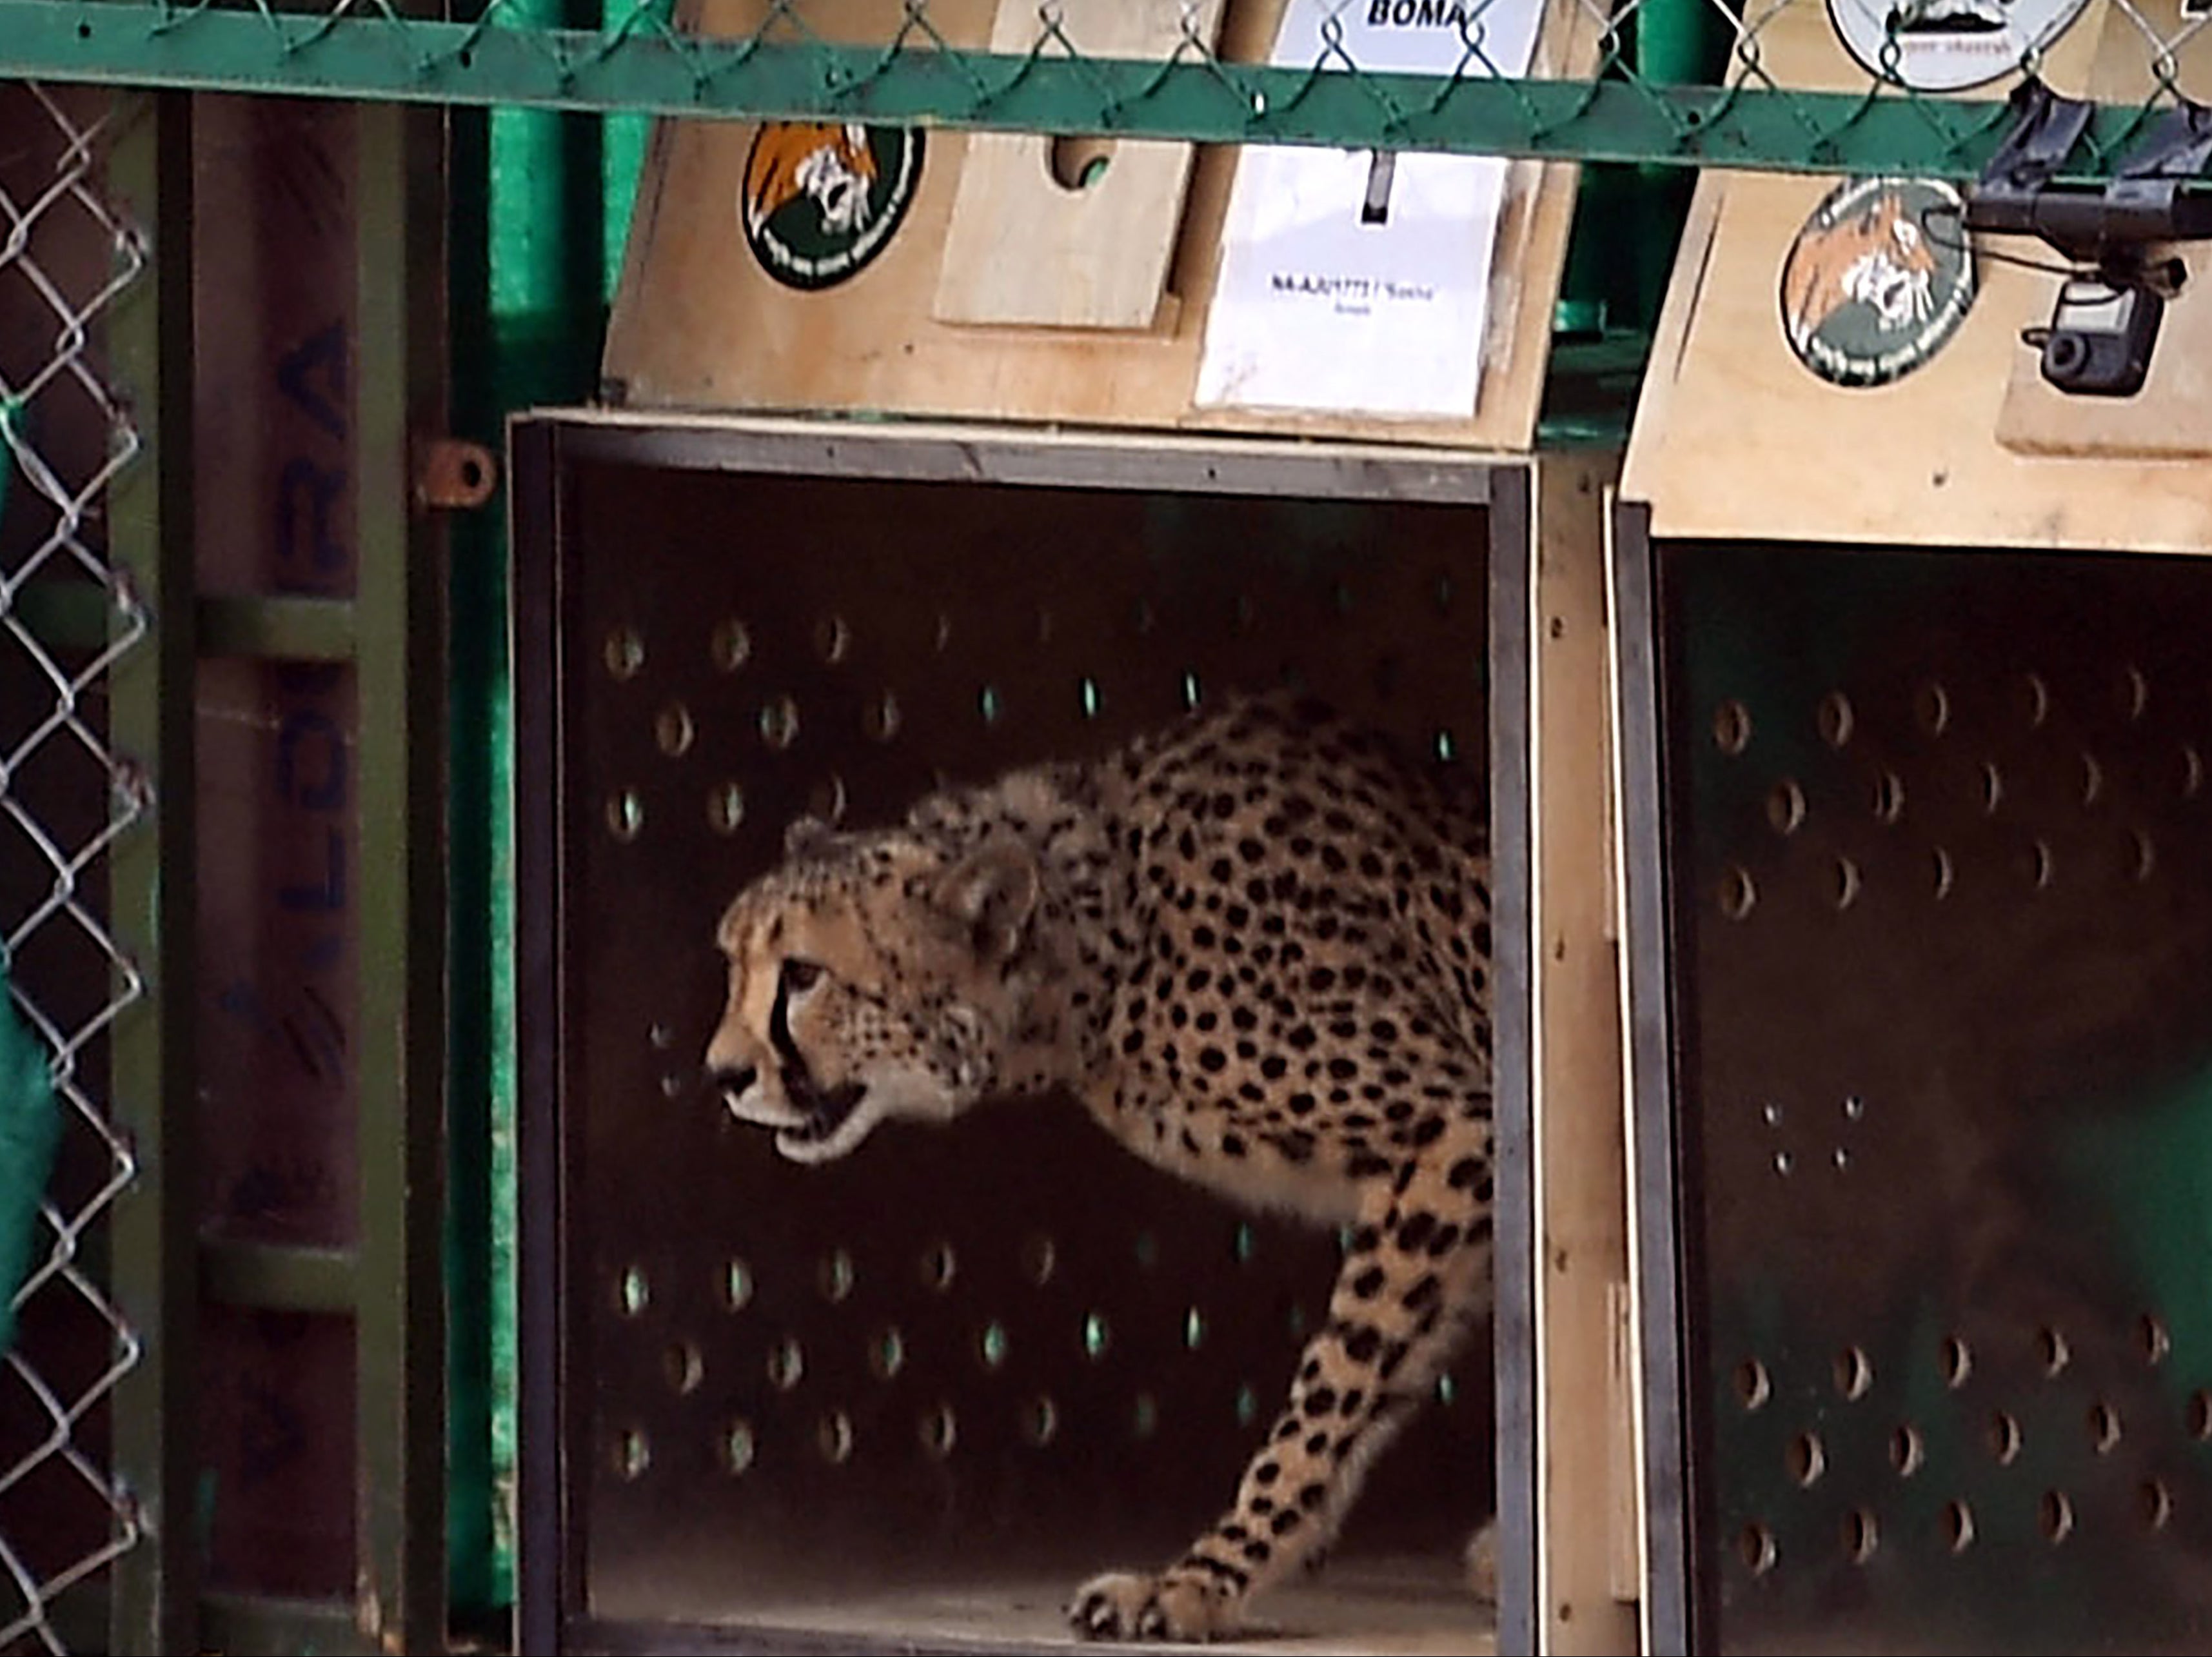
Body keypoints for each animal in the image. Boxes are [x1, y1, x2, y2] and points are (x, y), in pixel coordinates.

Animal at [703, 690, 1504, 1645]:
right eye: (733, 963)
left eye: (804, 975)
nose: (722, 1073)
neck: (1102, 946)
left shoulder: (1455, 1125)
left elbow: (1333, 1387)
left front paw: (1204, 1579)